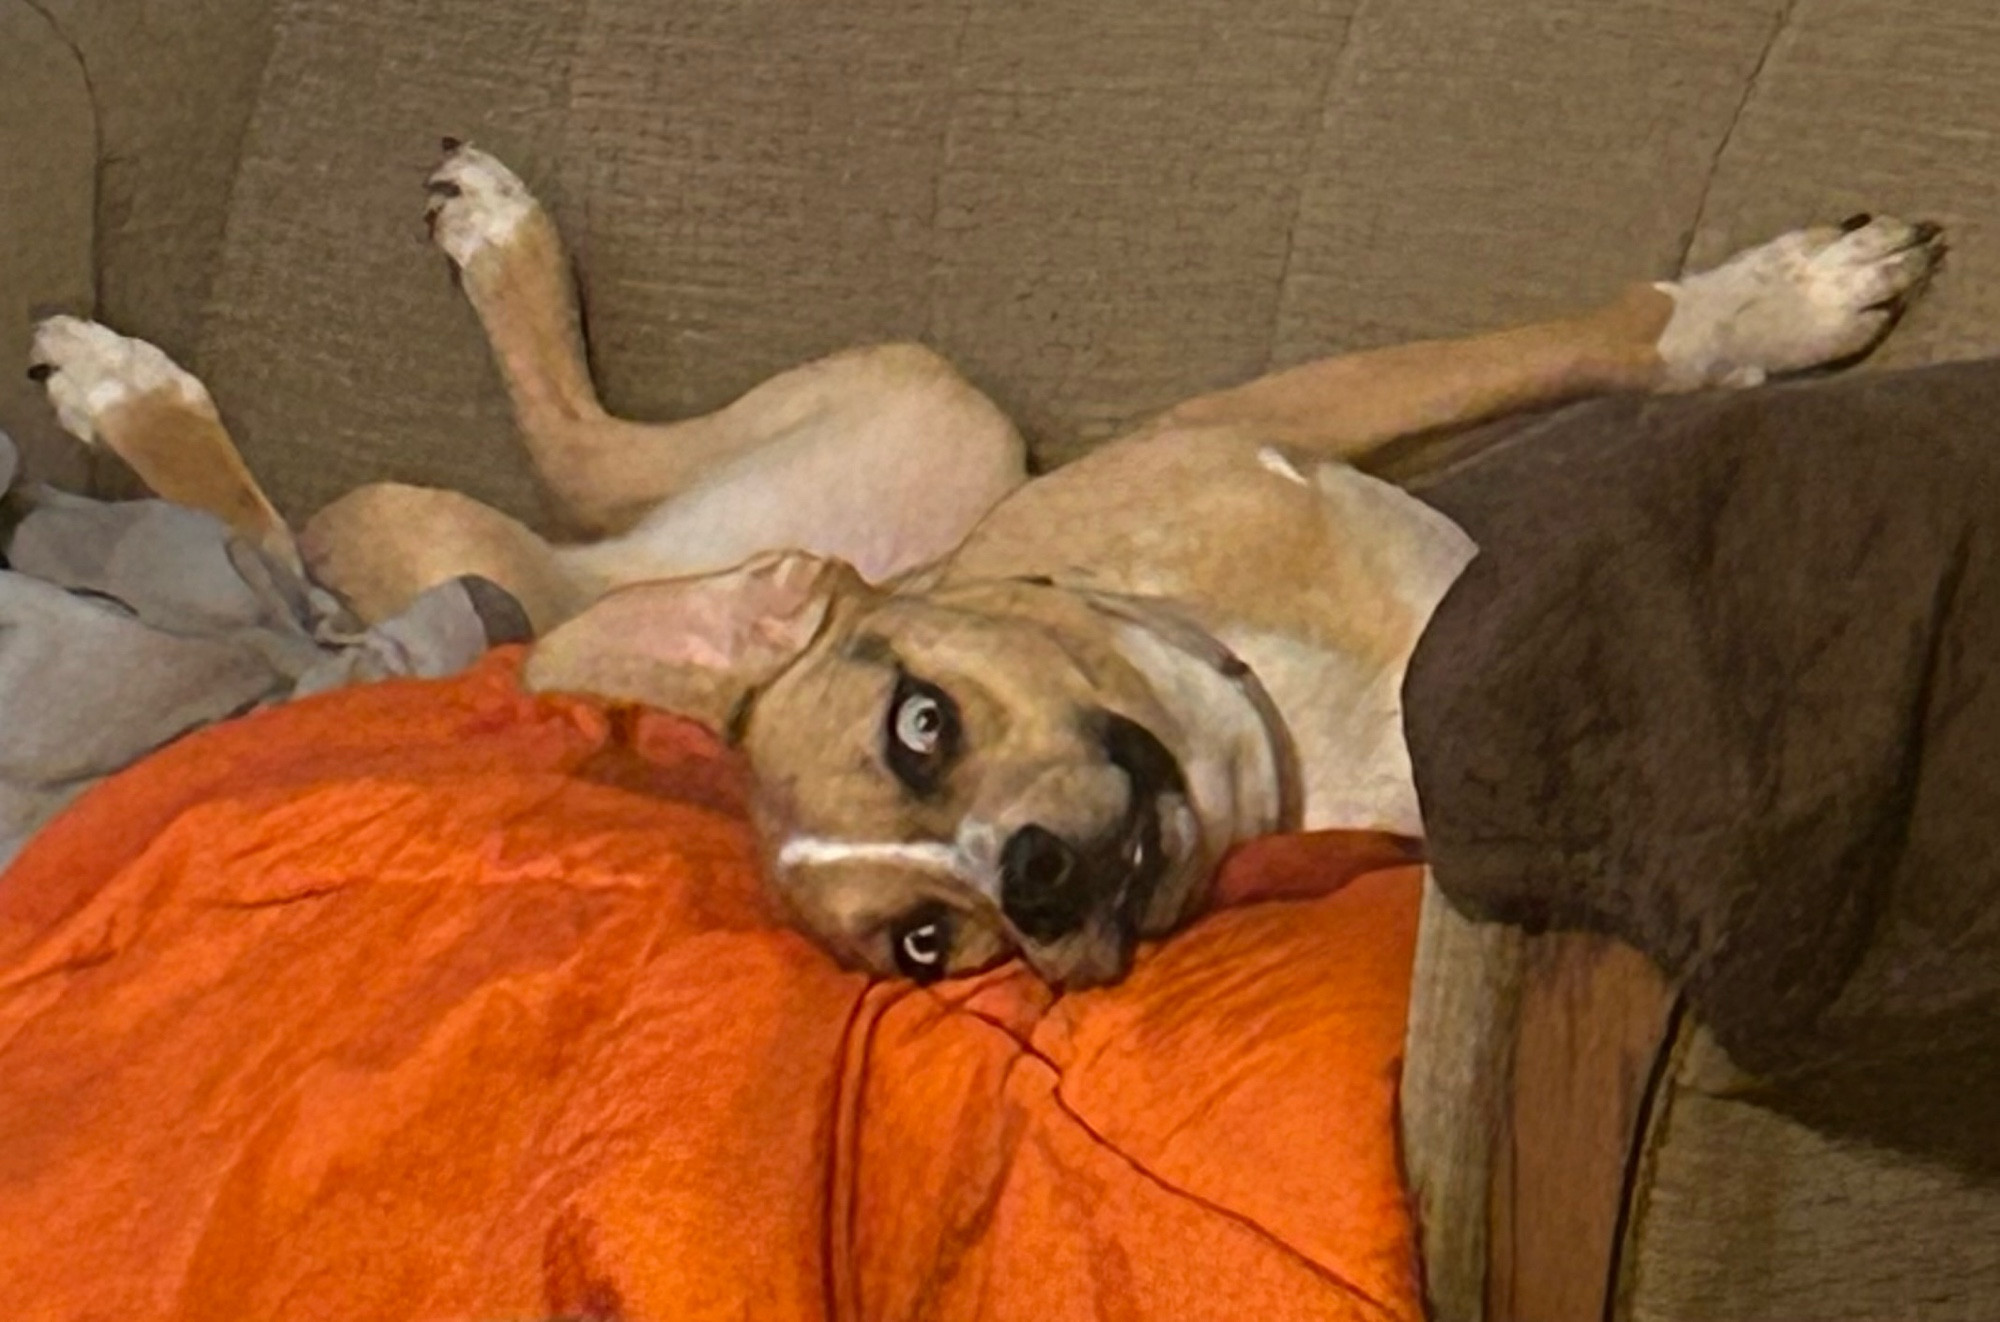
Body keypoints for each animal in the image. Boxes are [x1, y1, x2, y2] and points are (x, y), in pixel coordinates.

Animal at [27, 147, 1936, 992]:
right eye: (931, 944)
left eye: (921, 722)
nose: (1033, 875)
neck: (1290, 713)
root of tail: (622, 586)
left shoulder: (1278, 412)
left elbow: (1583, 336)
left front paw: (1772, 301)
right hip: (476, 557)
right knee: (294, 561)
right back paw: (134, 388)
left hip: (919, 407)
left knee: (542, 466)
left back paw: (473, 243)